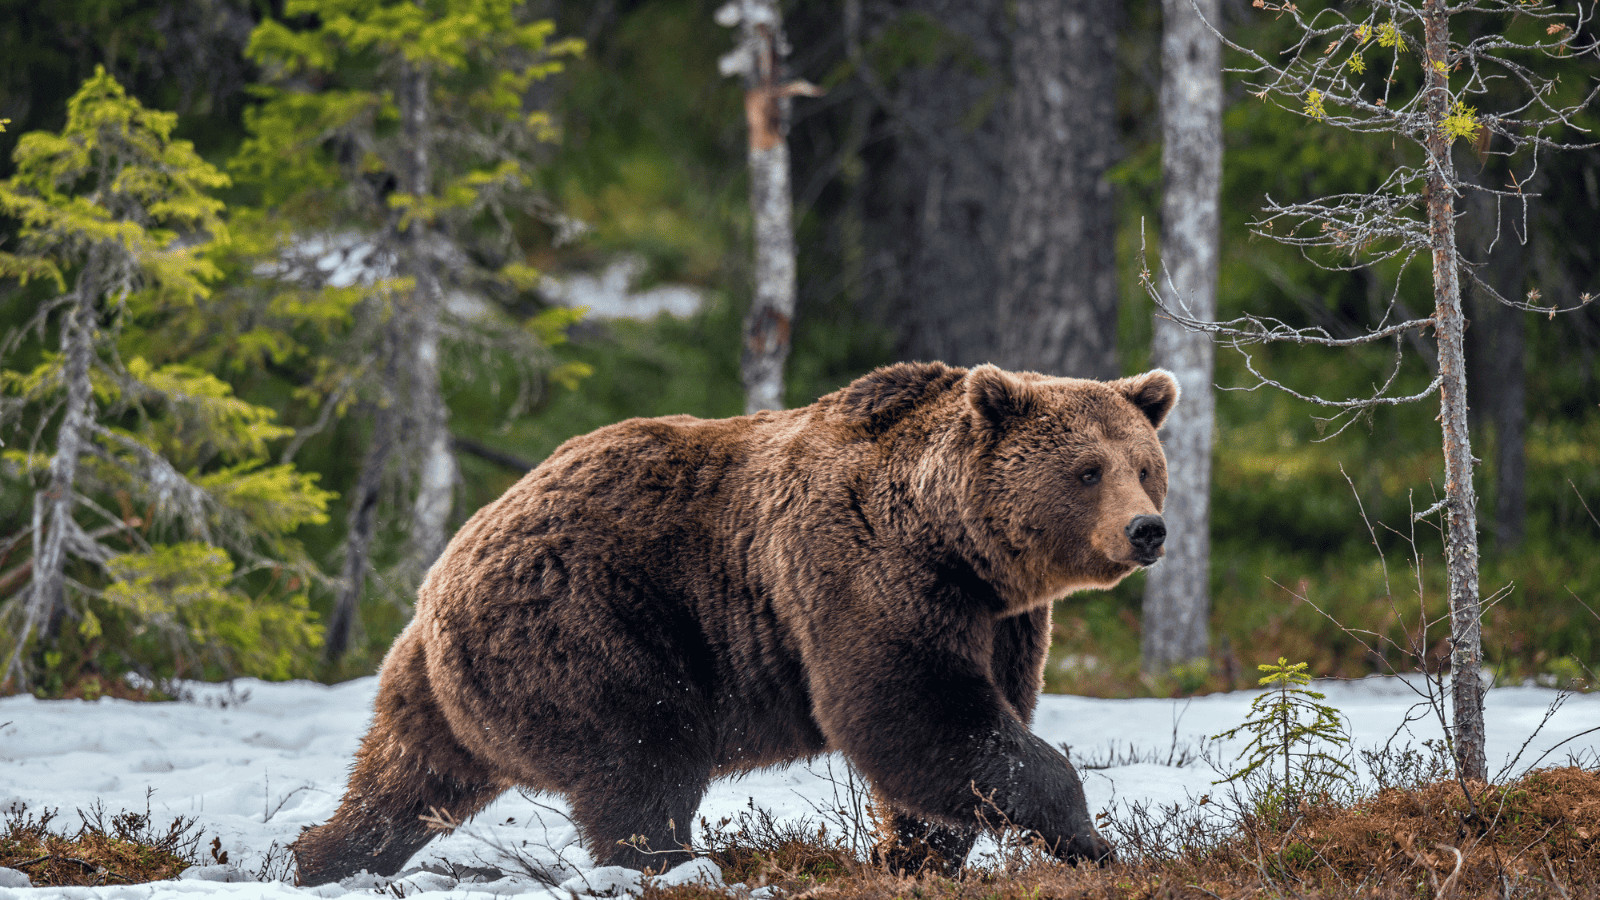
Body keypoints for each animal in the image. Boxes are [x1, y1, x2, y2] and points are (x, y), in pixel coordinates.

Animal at [291, 361, 1178, 885]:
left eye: (1145, 466)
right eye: (1087, 470)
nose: (1147, 530)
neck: (957, 542)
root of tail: (447, 564)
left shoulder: (1001, 621)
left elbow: (965, 731)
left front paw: (916, 854)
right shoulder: (865, 576)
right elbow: (914, 714)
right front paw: (1092, 839)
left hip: (440, 681)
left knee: (404, 777)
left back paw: (320, 857)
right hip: (594, 627)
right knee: (644, 760)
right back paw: (676, 866)